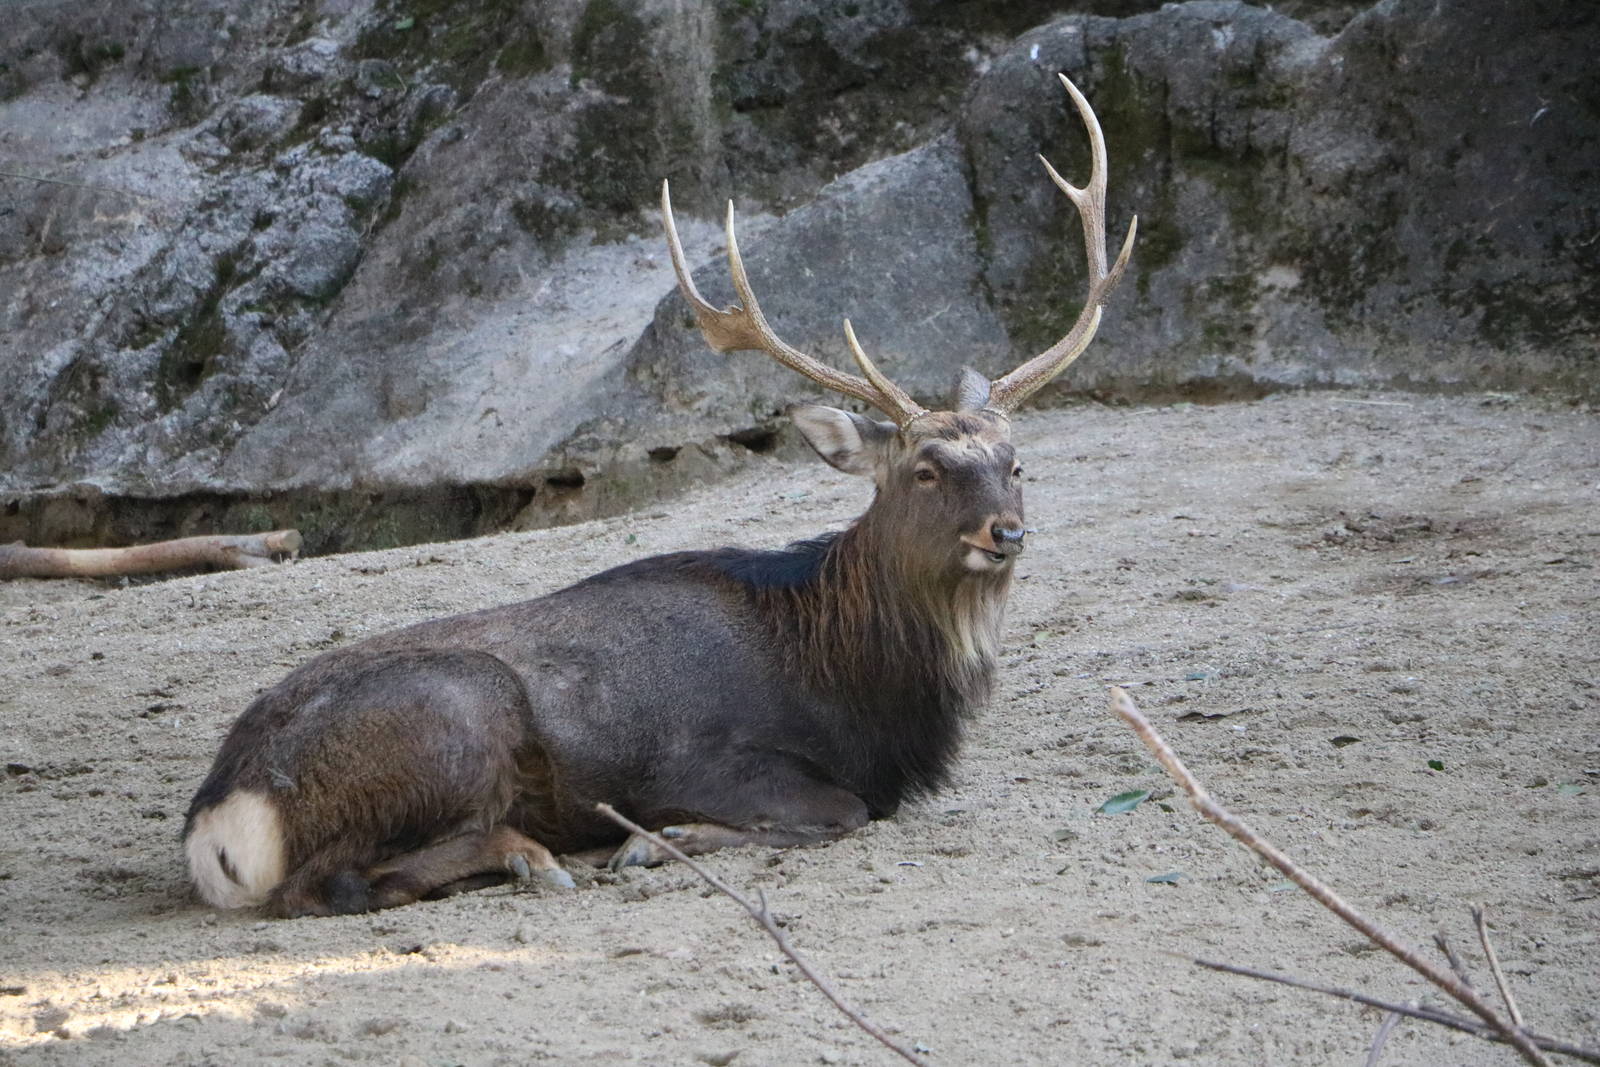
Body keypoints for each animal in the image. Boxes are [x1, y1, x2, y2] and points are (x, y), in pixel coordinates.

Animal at [183, 74, 1136, 918]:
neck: (861, 692)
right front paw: (658, 840)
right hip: (457, 716)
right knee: (327, 884)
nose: (1004, 533)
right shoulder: (702, 762)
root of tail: (215, 824)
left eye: (1016, 462)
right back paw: (534, 855)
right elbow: (840, 810)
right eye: (926, 468)